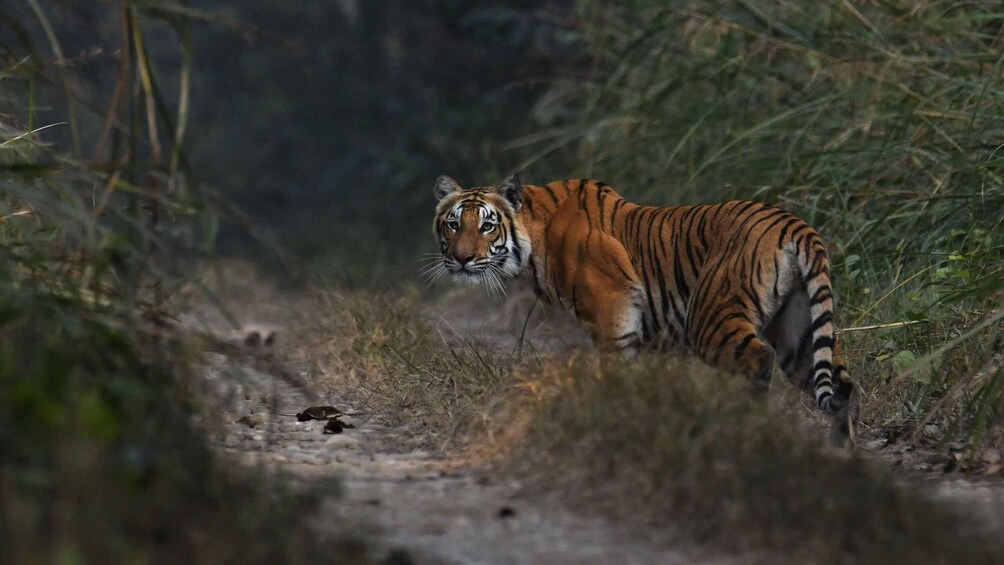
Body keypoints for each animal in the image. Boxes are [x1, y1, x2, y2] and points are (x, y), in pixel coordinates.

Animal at [430, 175, 856, 445]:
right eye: (453, 224)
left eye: (487, 226)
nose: (462, 259)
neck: (536, 236)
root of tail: (794, 224)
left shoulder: (612, 309)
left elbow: (615, 369)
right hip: (798, 329)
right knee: (839, 380)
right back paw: (841, 451)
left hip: (710, 315)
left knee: (758, 358)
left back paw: (747, 427)